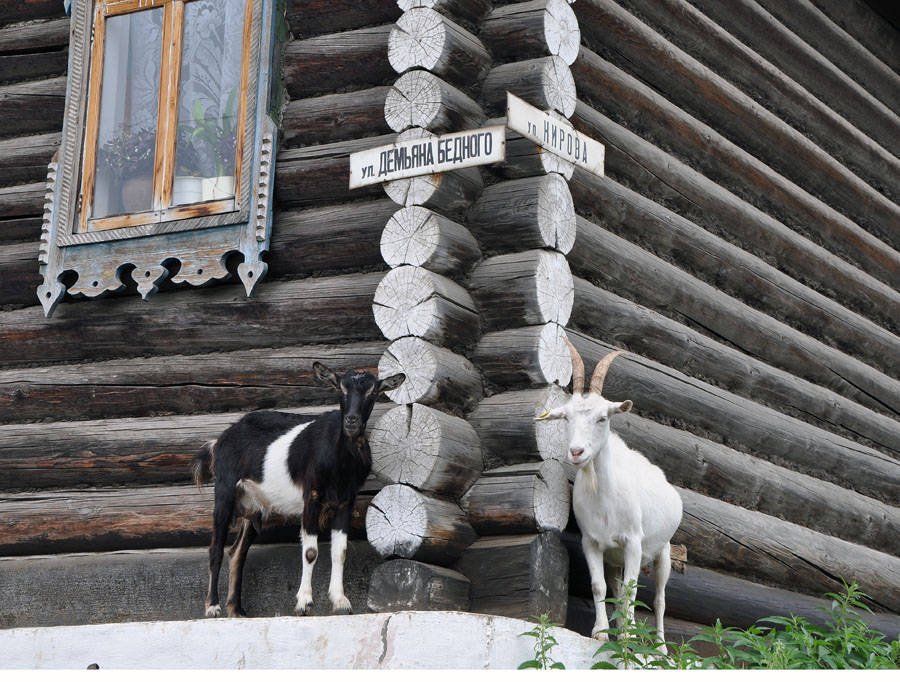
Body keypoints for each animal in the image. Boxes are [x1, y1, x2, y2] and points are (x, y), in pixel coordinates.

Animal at [192, 362, 404, 616]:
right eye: (341, 388)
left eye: (372, 392)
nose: (351, 421)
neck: (340, 461)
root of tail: (218, 441)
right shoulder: (311, 498)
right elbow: (310, 552)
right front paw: (304, 603)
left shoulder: (345, 502)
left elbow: (340, 551)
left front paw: (340, 602)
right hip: (224, 492)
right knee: (215, 549)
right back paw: (213, 607)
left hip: (252, 507)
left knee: (237, 553)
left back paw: (236, 611)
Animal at [536, 340, 684, 644]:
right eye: (566, 417)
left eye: (602, 418)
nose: (576, 452)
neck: (604, 498)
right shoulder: (591, 542)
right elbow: (599, 587)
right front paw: (601, 633)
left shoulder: (633, 542)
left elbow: (632, 590)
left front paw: (629, 638)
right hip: (615, 558)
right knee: (616, 588)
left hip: (663, 550)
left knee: (660, 599)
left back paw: (659, 646)